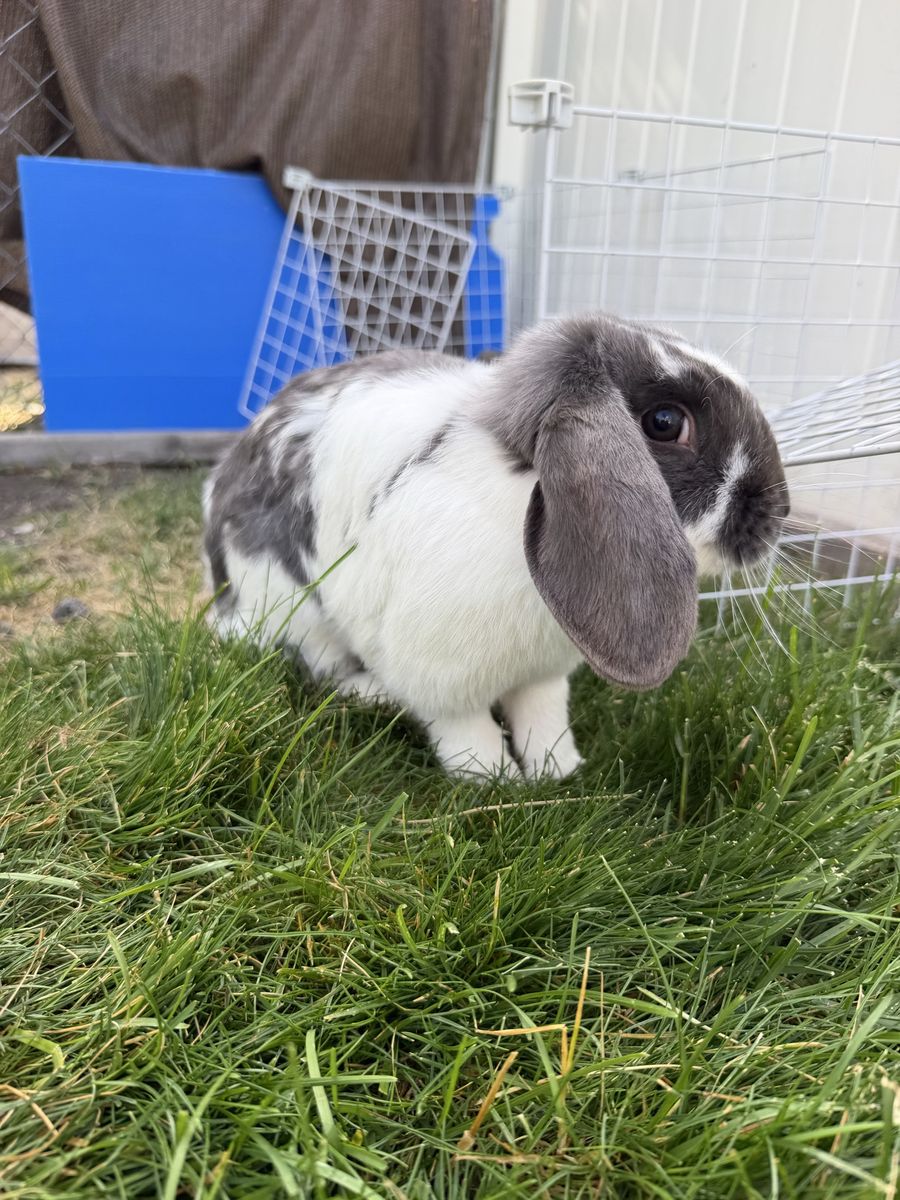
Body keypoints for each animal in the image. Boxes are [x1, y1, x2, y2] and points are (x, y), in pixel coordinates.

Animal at [203, 313, 789, 781]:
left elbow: (543, 717)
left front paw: (559, 772)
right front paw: (494, 781)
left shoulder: (543, 677)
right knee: (319, 665)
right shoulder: (441, 679)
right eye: (665, 423)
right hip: (293, 607)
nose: (778, 512)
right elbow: (466, 729)